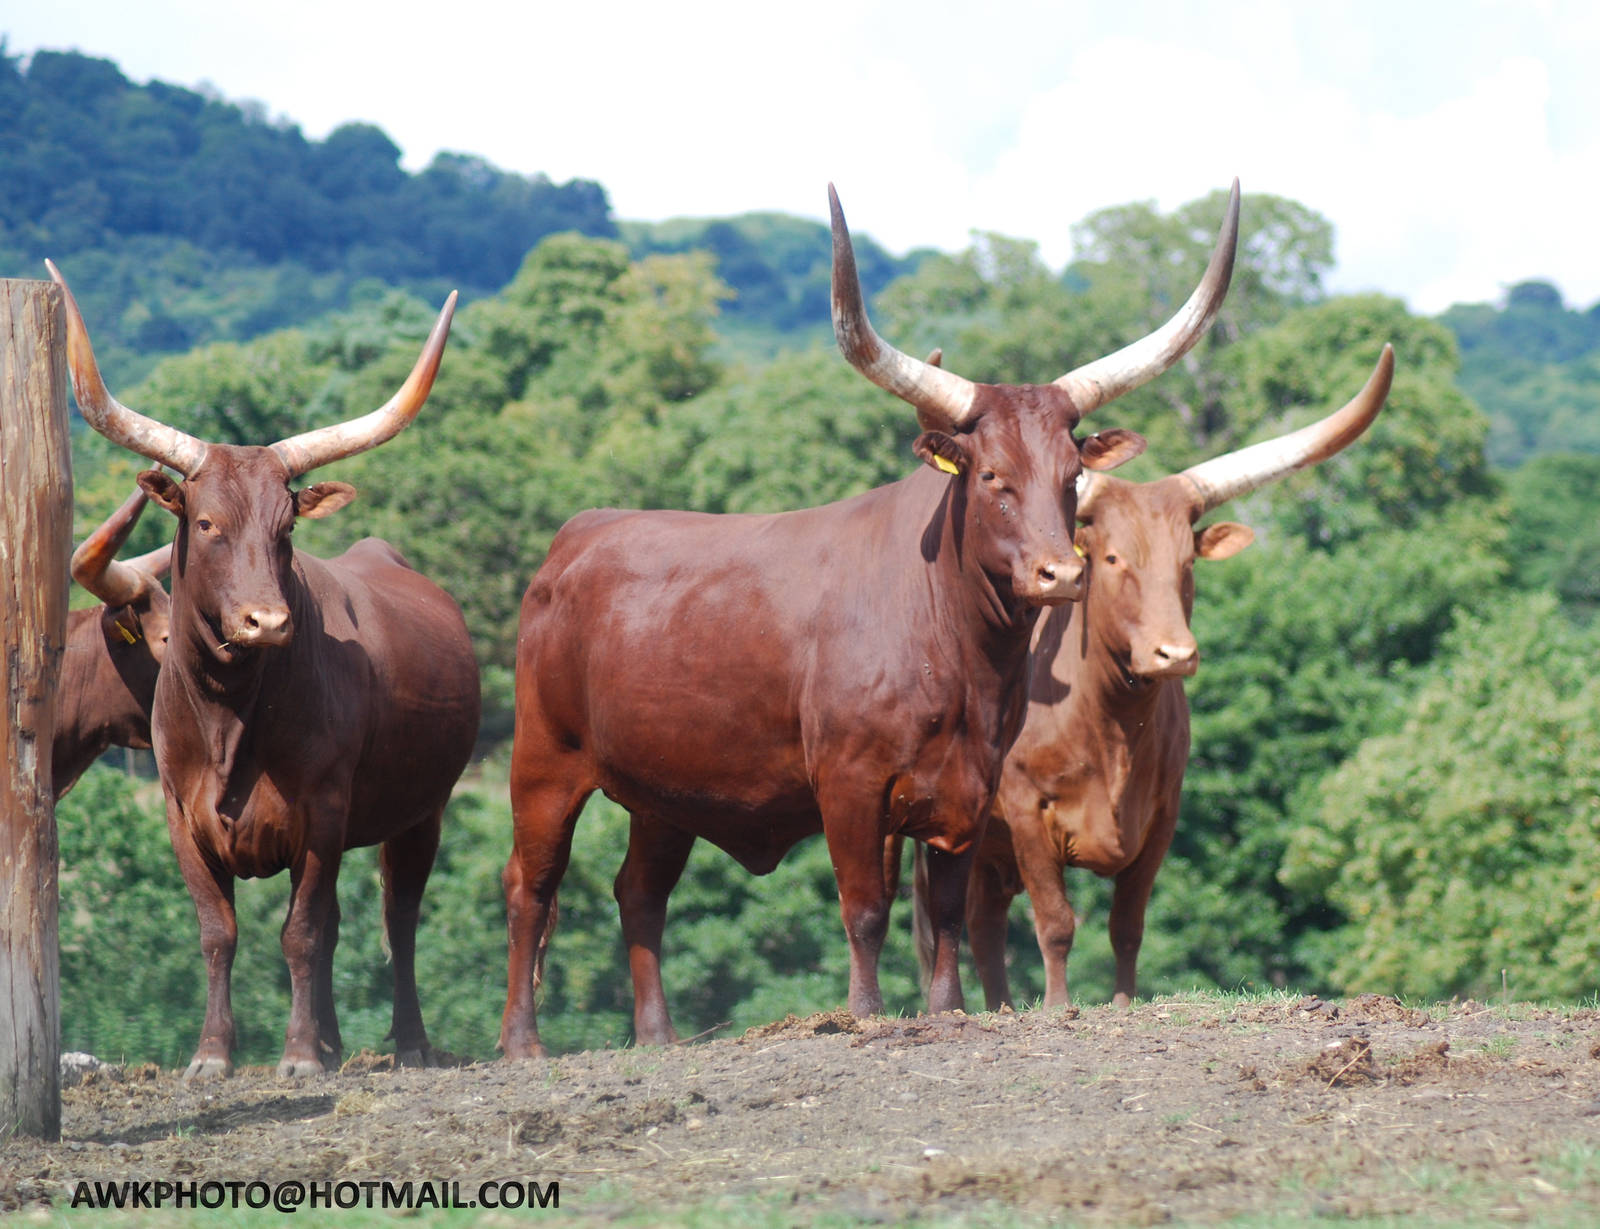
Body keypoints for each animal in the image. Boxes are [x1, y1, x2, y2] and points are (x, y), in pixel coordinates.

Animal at [498, 182, 1241, 1057]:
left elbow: (947, 912)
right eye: (992, 475)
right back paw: (523, 1042)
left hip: (662, 791)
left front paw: (948, 1009)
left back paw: (660, 1037)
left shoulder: (969, 788)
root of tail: (577, 536)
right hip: (543, 762)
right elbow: (864, 906)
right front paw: (865, 1010)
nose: (1060, 573)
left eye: (1071, 475)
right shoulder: (849, 783)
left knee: (638, 890)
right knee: (530, 883)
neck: (955, 650)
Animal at [915, 345, 1395, 1011]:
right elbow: (1056, 923)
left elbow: (1127, 927)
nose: (1175, 654)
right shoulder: (1027, 810)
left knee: (984, 921)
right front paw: (1060, 1007)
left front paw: (1120, 1004)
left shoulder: (1162, 816)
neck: (1109, 726)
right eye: (1113, 559)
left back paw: (1003, 1008)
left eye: (1187, 562)